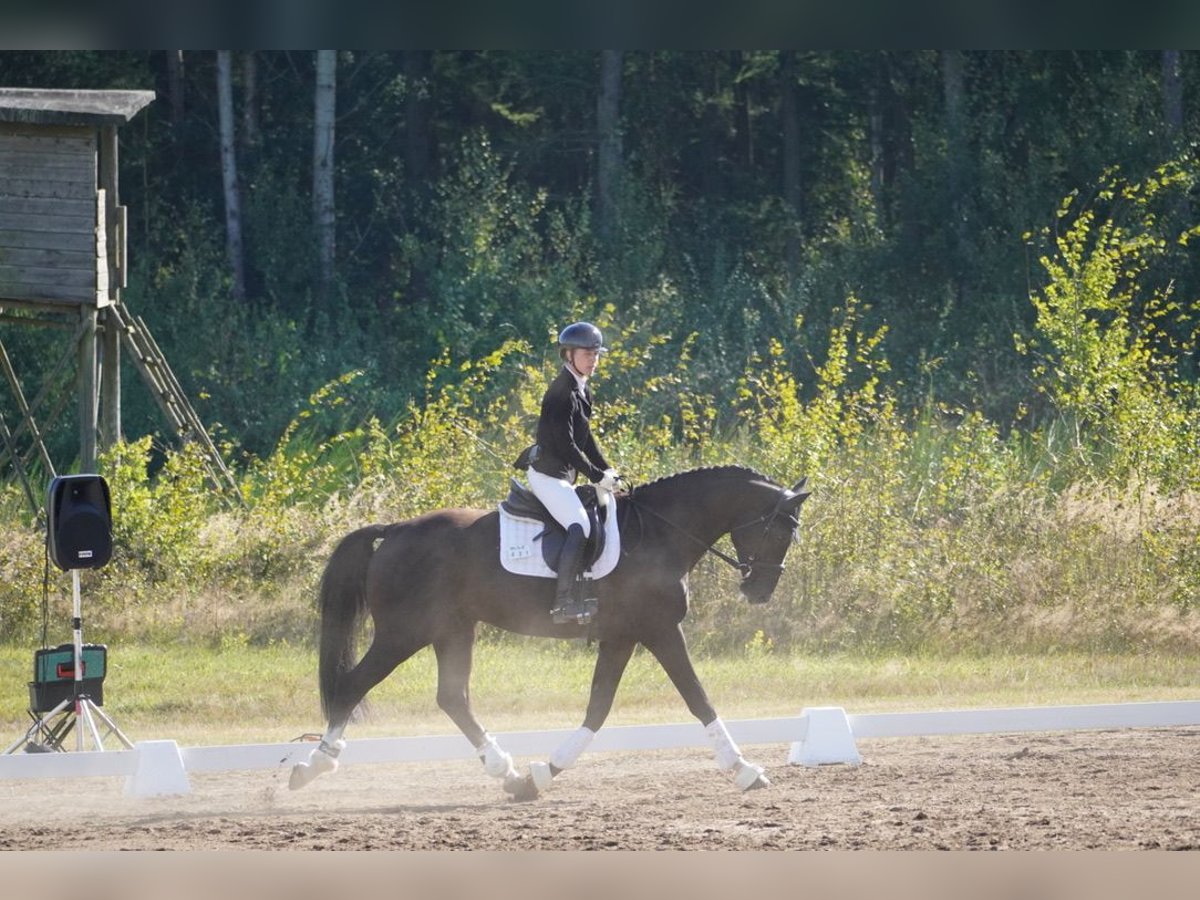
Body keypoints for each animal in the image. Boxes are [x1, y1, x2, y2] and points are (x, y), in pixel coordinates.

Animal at [290, 468, 811, 801]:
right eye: (780, 530)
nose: (760, 591)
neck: (661, 534)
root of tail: (395, 529)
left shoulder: (623, 636)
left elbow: (598, 708)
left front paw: (540, 774)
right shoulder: (660, 630)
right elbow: (698, 699)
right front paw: (746, 771)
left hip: (452, 629)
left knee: (453, 697)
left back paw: (507, 773)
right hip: (403, 632)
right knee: (353, 686)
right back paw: (311, 768)